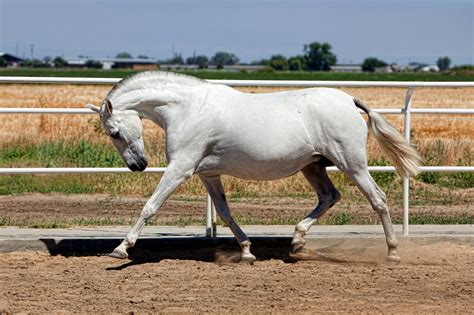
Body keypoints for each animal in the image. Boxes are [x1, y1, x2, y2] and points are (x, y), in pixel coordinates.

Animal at [87, 71, 420, 264]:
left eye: (113, 132)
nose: (138, 165)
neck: (189, 109)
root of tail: (349, 100)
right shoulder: (208, 174)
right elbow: (224, 211)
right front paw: (247, 251)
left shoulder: (180, 168)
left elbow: (150, 206)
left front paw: (121, 248)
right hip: (313, 166)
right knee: (329, 197)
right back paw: (297, 241)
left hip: (351, 162)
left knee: (378, 199)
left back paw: (392, 253)